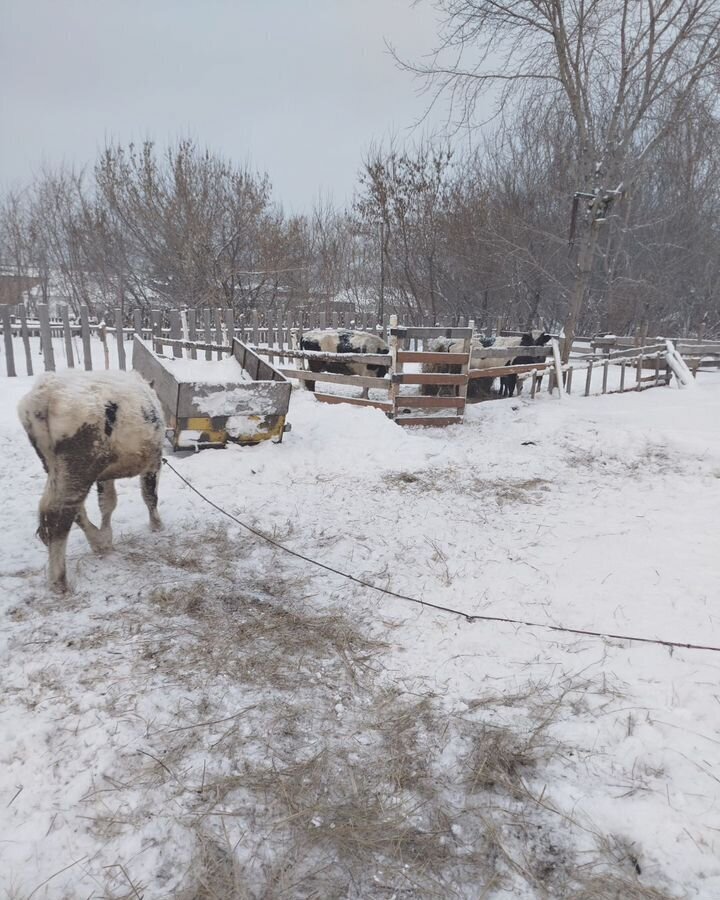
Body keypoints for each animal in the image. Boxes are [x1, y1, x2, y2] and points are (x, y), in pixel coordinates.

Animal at [17, 370, 165, 596]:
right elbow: (150, 496)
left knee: (65, 509)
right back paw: (59, 580)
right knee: (61, 514)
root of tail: (45, 394)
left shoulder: (105, 474)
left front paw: (106, 537)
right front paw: (157, 525)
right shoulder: (153, 462)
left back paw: (96, 541)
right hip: (79, 466)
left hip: (55, 466)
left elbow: (107, 502)